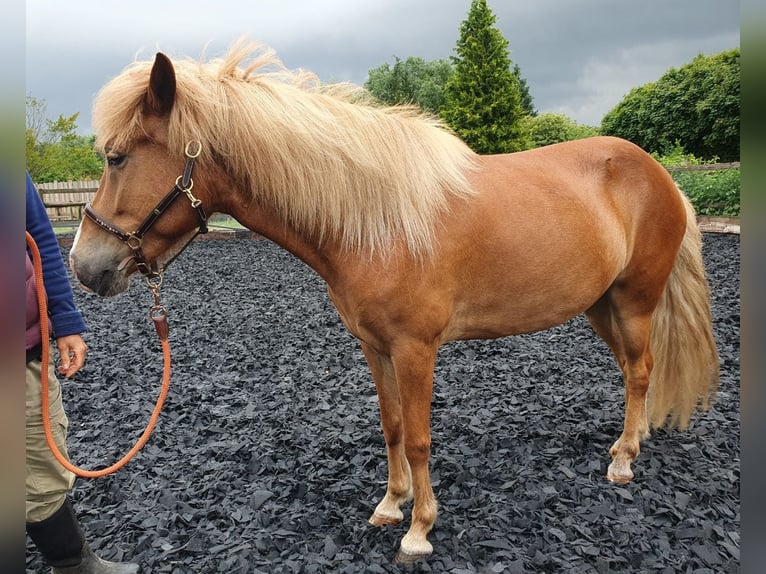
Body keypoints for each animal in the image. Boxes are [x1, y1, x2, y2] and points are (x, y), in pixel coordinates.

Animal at [69, 40, 719, 563]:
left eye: (117, 156)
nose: (84, 265)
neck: (376, 224)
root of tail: (660, 173)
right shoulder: (374, 346)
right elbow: (391, 427)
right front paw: (391, 505)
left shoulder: (415, 349)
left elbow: (420, 437)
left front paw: (419, 531)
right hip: (601, 306)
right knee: (635, 371)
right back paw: (628, 441)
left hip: (634, 301)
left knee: (641, 371)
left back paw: (624, 460)